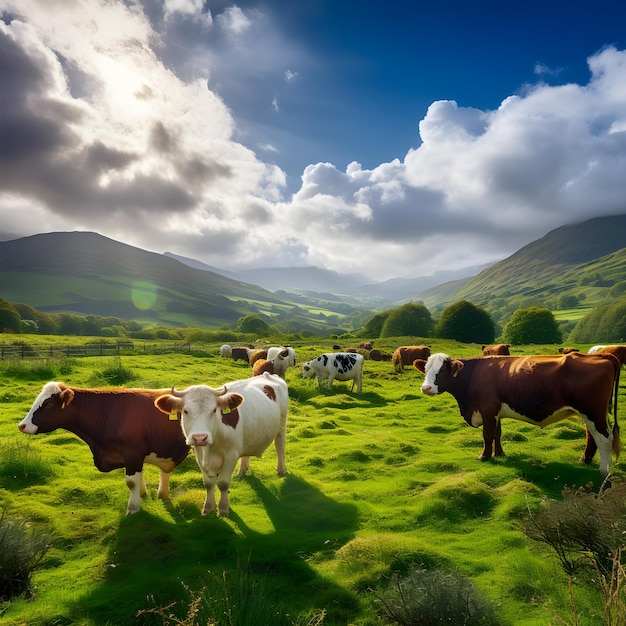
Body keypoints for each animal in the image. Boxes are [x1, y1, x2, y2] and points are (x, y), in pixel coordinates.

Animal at [18, 380, 189, 512]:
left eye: (48, 404)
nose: (22, 425)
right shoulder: (134, 456)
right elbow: (139, 477)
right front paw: (142, 495)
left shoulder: (133, 453)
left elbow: (131, 482)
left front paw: (133, 509)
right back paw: (163, 495)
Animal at [154, 370, 288, 512]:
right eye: (185, 411)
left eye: (214, 410)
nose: (200, 437)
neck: (211, 448)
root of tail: (269, 375)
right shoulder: (199, 455)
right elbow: (208, 484)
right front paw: (208, 507)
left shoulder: (231, 456)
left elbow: (223, 483)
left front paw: (223, 508)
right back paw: (242, 470)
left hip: (282, 425)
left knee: (280, 446)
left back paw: (281, 470)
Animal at [414, 352, 620, 472]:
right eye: (425, 369)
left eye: (442, 371)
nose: (426, 388)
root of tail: (601, 356)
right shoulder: (495, 411)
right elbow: (497, 433)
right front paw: (499, 454)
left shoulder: (488, 409)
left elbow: (487, 435)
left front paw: (484, 456)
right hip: (589, 414)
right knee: (591, 435)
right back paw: (584, 460)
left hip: (592, 411)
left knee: (604, 438)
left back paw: (604, 470)